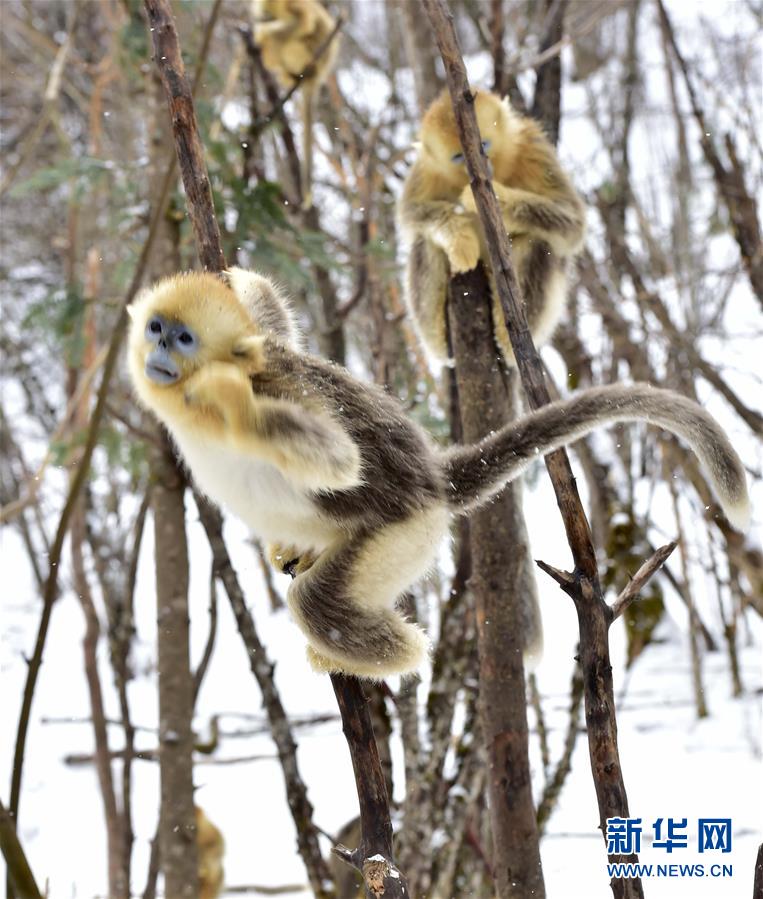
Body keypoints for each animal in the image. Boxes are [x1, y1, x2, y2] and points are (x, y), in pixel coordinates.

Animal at [127, 270, 752, 680]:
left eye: (183, 338)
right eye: (156, 328)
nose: (159, 351)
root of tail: (434, 480)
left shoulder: (277, 386)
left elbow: (339, 459)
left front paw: (227, 397)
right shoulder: (271, 347)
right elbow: (269, 317)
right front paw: (241, 275)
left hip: (405, 535)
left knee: (318, 605)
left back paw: (384, 654)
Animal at [396, 90, 588, 370]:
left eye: (482, 145)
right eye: (458, 157)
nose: (478, 168)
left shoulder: (533, 147)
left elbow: (573, 222)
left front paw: (497, 198)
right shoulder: (425, 168)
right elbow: (409, 216)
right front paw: (461, 240)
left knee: (537, 241)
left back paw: (507, 343)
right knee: (425, 242)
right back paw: (440, 342)